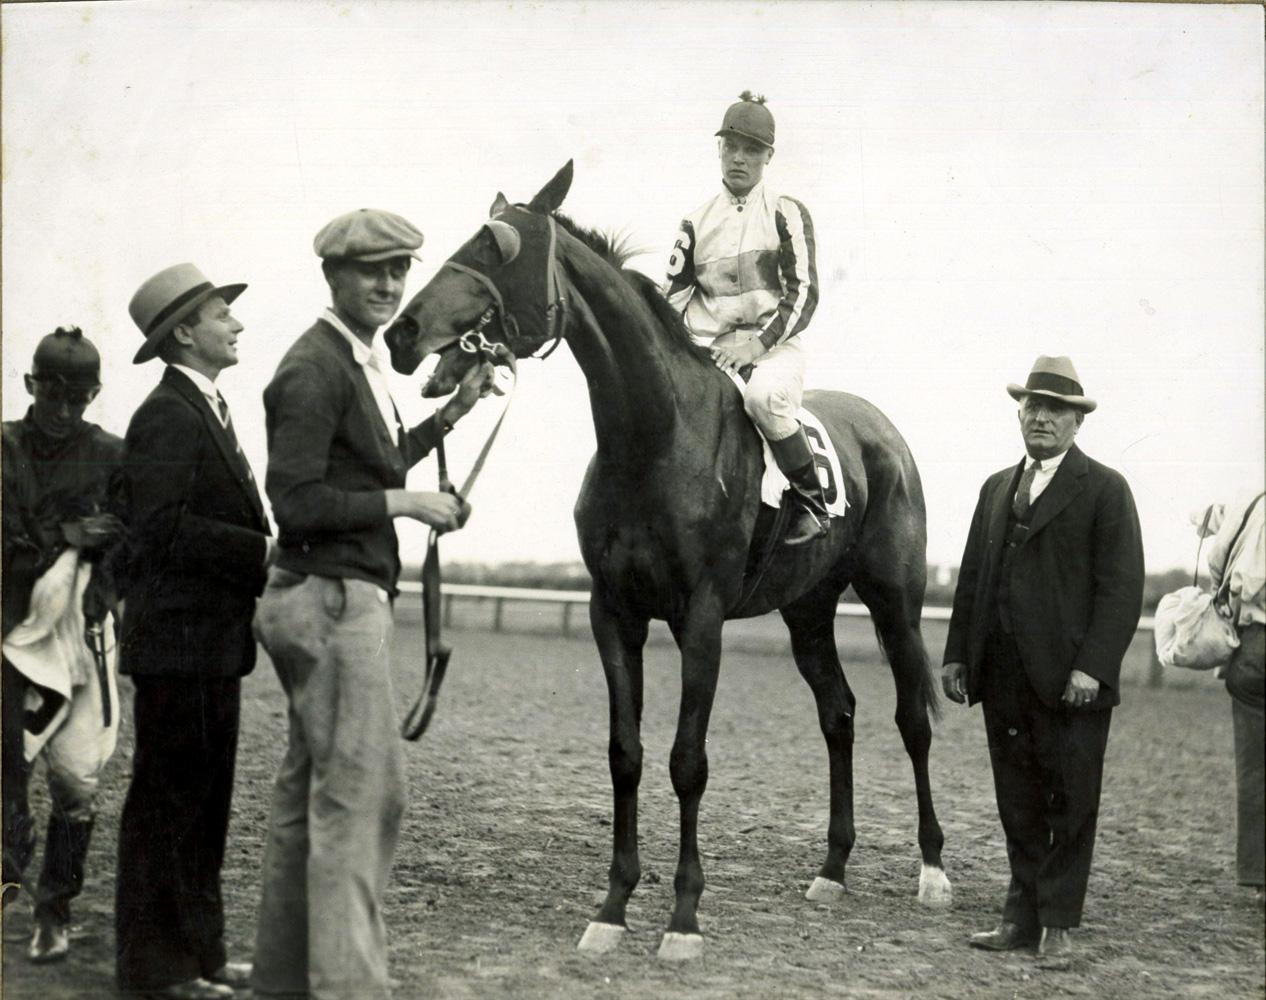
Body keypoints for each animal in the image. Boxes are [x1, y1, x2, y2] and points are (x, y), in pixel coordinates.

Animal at [384, 164, 952, 962]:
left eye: (496, 247)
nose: (401, 332)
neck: (652, 438)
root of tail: (884, 432)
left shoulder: (701, 619)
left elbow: (689, 761)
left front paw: (683, 918)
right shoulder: (613, 613)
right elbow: (625, 753)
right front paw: (613, 906)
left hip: (895, 601)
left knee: (911, 720)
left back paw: (933, 871)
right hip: (808, 609)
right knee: (838, 712)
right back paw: (832, 869)